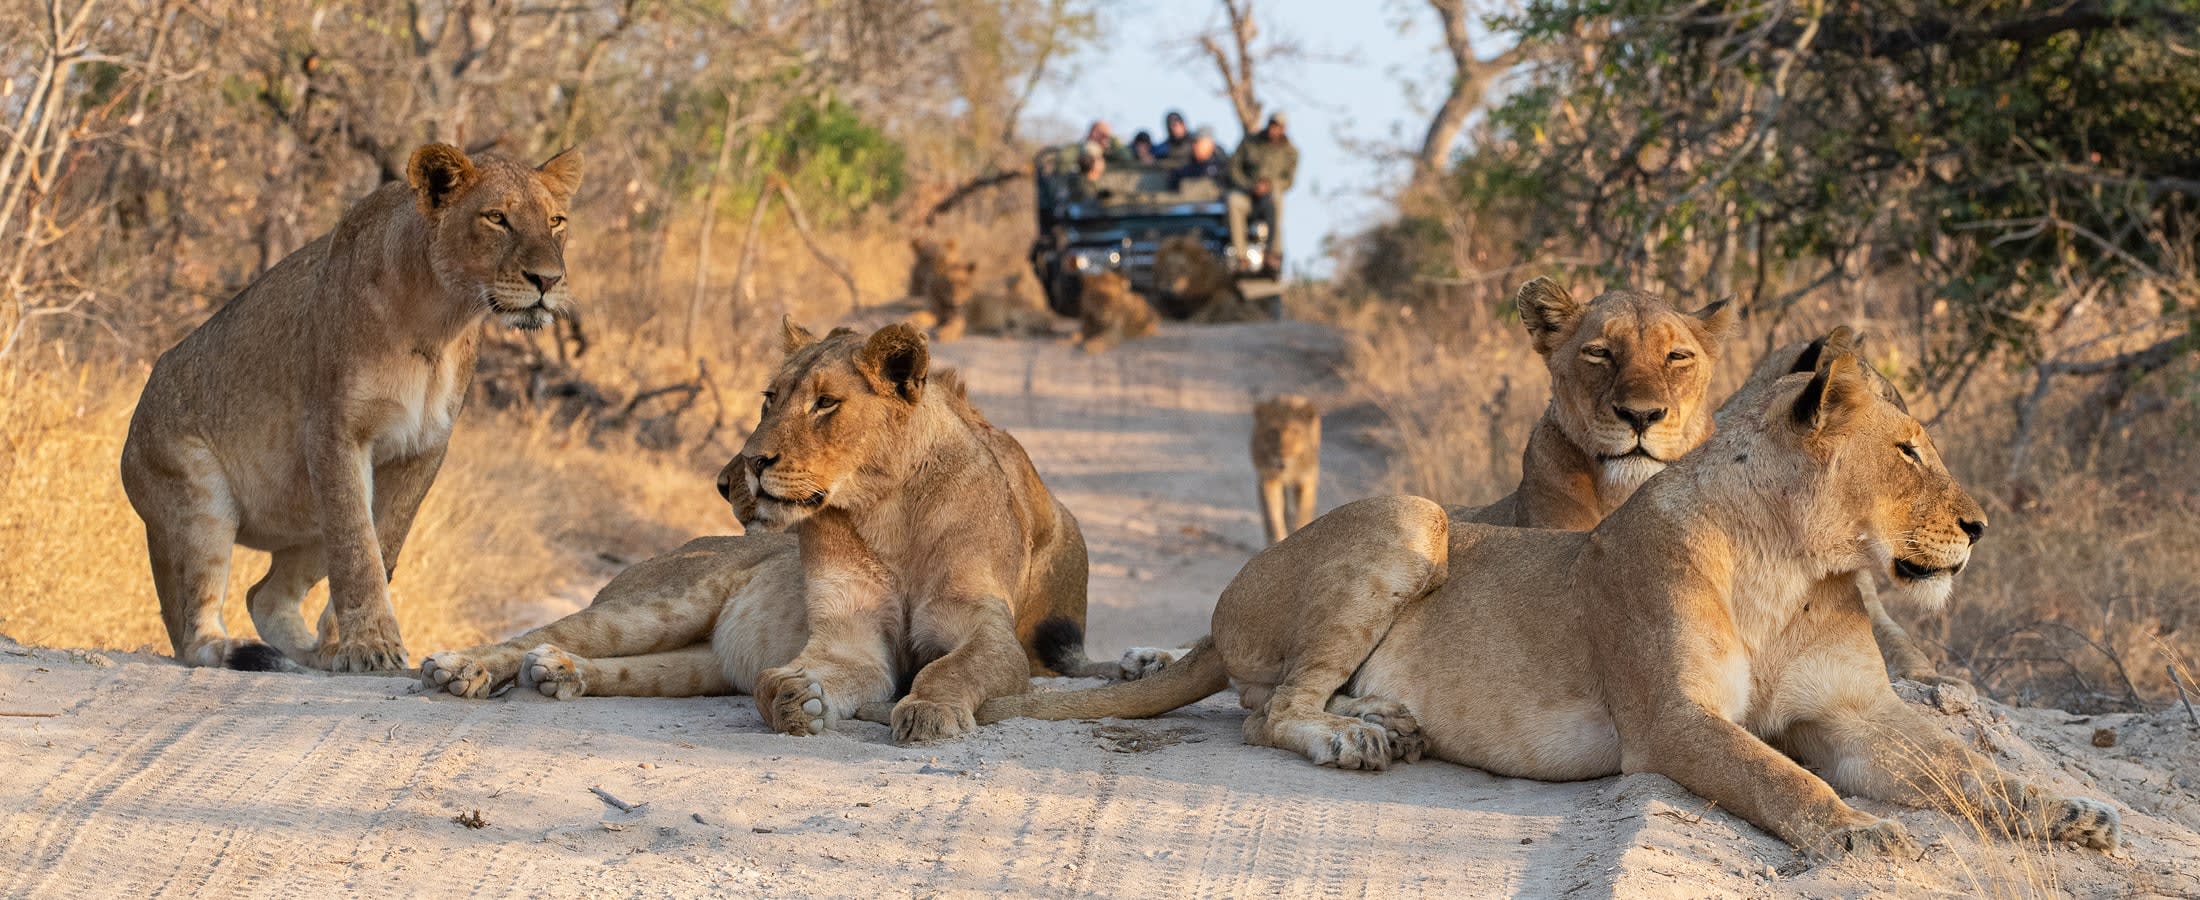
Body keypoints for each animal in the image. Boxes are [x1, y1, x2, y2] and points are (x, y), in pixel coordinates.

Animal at [121, 143, 583, 673]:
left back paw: (307, 656)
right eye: (497, 218)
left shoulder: (424, 448)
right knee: (194, 628)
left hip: (303, 519)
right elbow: (357, 548)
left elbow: (383, 544)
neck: (440, 322)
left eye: (555, 221)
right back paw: (246, 652)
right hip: (198, 497)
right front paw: (370, 646)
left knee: (264, 595)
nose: (548, 280)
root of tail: (129, 445)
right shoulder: (334, 432)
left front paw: (346, 643)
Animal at [421, 320, 1129, 743]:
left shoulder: (987, 633)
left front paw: (929, 713)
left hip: (696, 663)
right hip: (660, 605)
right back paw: (460, 669)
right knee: (541, 633)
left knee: (627, 667)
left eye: (825, 403)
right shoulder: (847, 643)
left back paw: (559, 674)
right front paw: (795, 702)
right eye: (770, 398)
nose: (748, 465)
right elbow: (785, 679)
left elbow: (950, 668)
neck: (888, 511)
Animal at [1251, 395, 1320, 544]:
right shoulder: (1268, 479)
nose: (1282, 455)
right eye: (1272, 431)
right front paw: (1277, 539)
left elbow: (1303, 513)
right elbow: (1272, 514)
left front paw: (1300, 532)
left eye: (1295, 431)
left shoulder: (1306, 480)